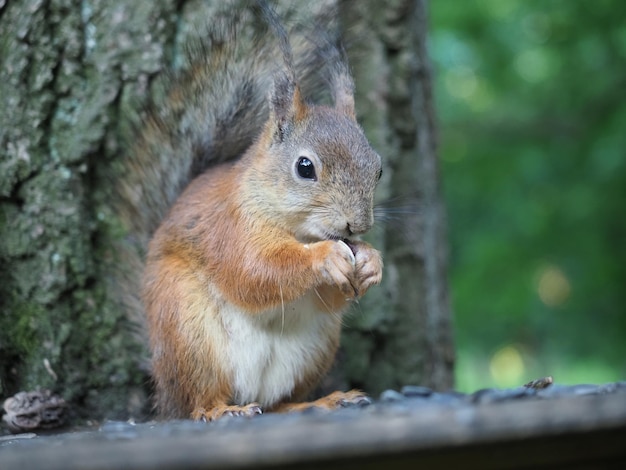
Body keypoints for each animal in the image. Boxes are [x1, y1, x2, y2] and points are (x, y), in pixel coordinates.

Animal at [117, 1, 380, 420]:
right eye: (305, 167)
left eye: (378, 168)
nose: (357, 226)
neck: (298, 232)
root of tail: (162, 386)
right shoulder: (229, 227)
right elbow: (254, 272)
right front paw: (324, 257)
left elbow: (329, 297)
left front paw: (372, 261)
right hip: (188, 329)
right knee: (197, 401)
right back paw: (220, 411)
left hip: (314, 349)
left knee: (279, 403)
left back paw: (320, 401)